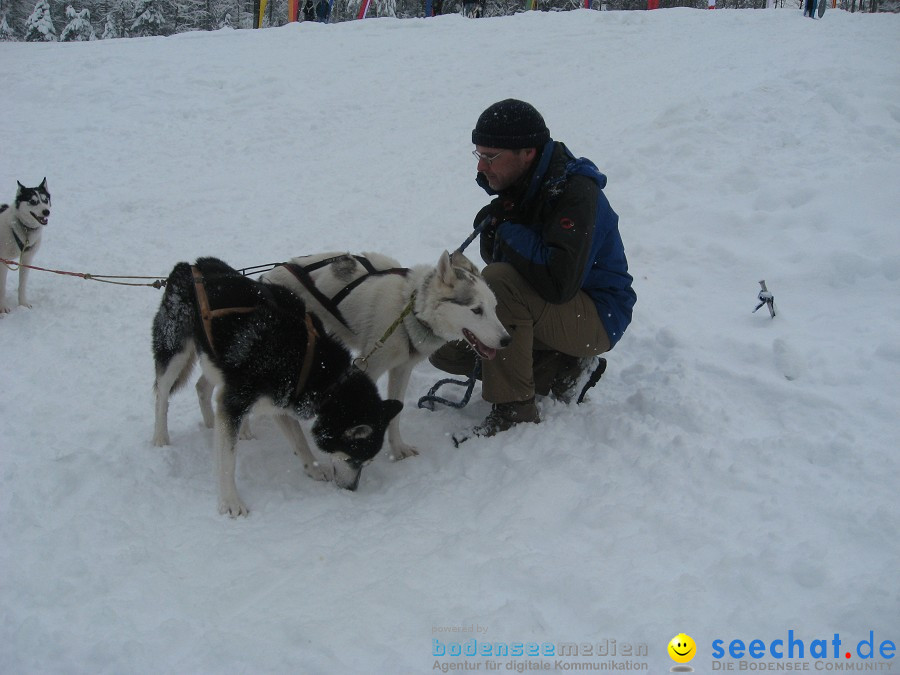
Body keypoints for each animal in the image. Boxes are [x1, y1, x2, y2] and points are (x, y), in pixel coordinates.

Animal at [0, 177, 50, 314]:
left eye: (45, 200)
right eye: (32, 201)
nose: (46, 211)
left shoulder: (27, 259)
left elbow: (22, 285)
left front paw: (23, 305)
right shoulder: (4, 261)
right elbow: (2, 287)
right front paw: (3, 308)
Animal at [151, 258, 400, 516]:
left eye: (366, 462)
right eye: (354, 460)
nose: (352, 489)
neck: (308, 360)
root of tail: (189, 265)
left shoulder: (280, 400)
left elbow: (299, 440)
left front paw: (313, 468)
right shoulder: (237, 400)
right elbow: (228, 460)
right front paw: (230, 501)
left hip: (218, 362)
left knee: (202, 388)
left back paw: (216, 424)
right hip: (175, 353)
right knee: (162, 395)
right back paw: (161, 437)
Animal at [260, 251, 510, 462]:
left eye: (495, 307)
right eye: (476, 310)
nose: (507, 340)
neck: (407, 310)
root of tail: (266, 278)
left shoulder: (402, 369)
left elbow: (396, 413)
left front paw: (398, 448)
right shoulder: (369, 367)